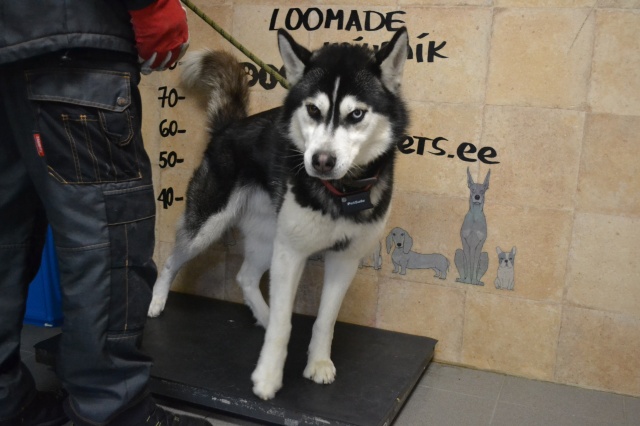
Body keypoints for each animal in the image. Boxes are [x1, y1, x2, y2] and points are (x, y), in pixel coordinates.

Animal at [147, 29, 410, 400]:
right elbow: (285, 323)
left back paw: (263, 315)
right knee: (171, 259)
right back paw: (157, 301)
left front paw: (318, 363)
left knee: (244, 276)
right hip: (208, 226)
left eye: (357, 114)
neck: (339, 191)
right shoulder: (291, 253)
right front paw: (268, 376)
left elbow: (325, 320)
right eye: (313, 109)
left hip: (269, 236)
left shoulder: (344, 259)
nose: (321, 161)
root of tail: (230, 126)